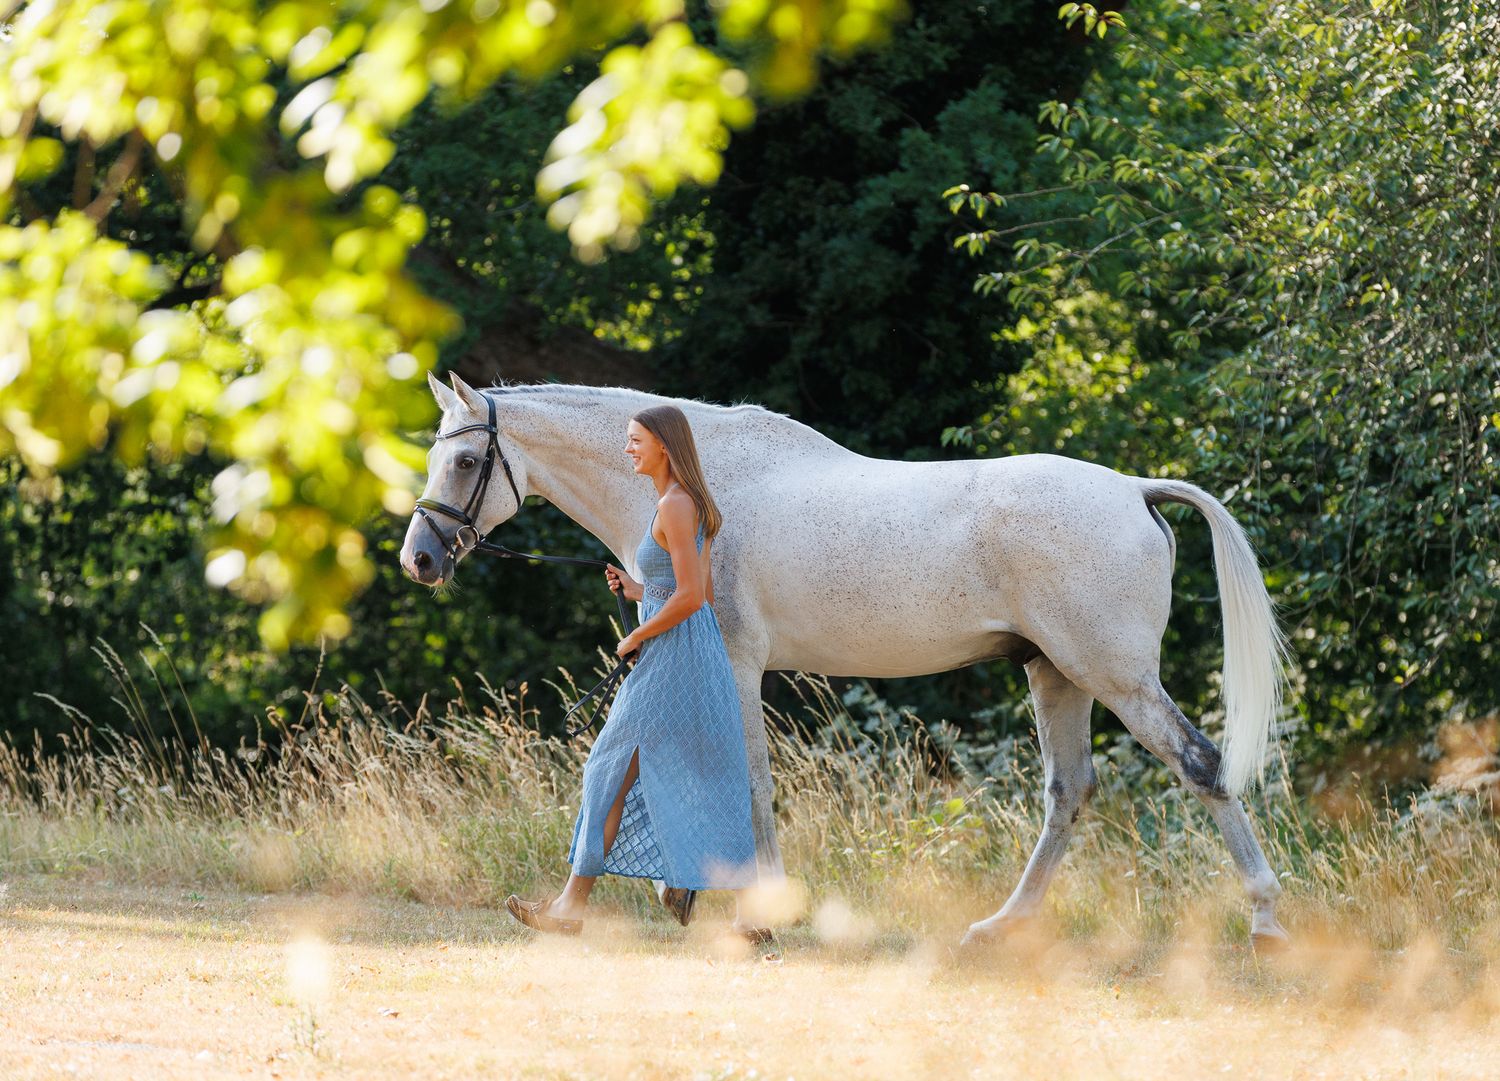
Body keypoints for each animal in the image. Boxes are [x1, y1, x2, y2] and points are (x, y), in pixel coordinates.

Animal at [400, 373, 1293, 951]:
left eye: (467, 461)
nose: (420, 558)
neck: (700, 485)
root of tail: (1134, 489)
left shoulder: (737, 661)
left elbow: (749, 781)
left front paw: (755, 911)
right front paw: (677, 892)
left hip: (1115, 677)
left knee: (1200, 764)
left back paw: (1267, 918)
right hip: (1056, 674)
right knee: (1069, 793)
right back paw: (999, 926)